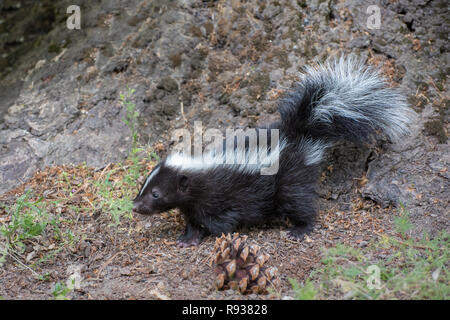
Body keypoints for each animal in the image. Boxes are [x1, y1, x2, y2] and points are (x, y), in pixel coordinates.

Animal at [133, 56, 414, 246]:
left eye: (156, 194)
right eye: (144, 186)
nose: (135, 206)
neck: (201, 172)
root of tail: (297, 133)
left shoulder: (223, 196)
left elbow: (224, 220)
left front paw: (212, 232)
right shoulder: (193, 203)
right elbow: (193, 219)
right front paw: (188, 238)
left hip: (289, 179)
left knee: (300, 203)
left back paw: (299, 229)